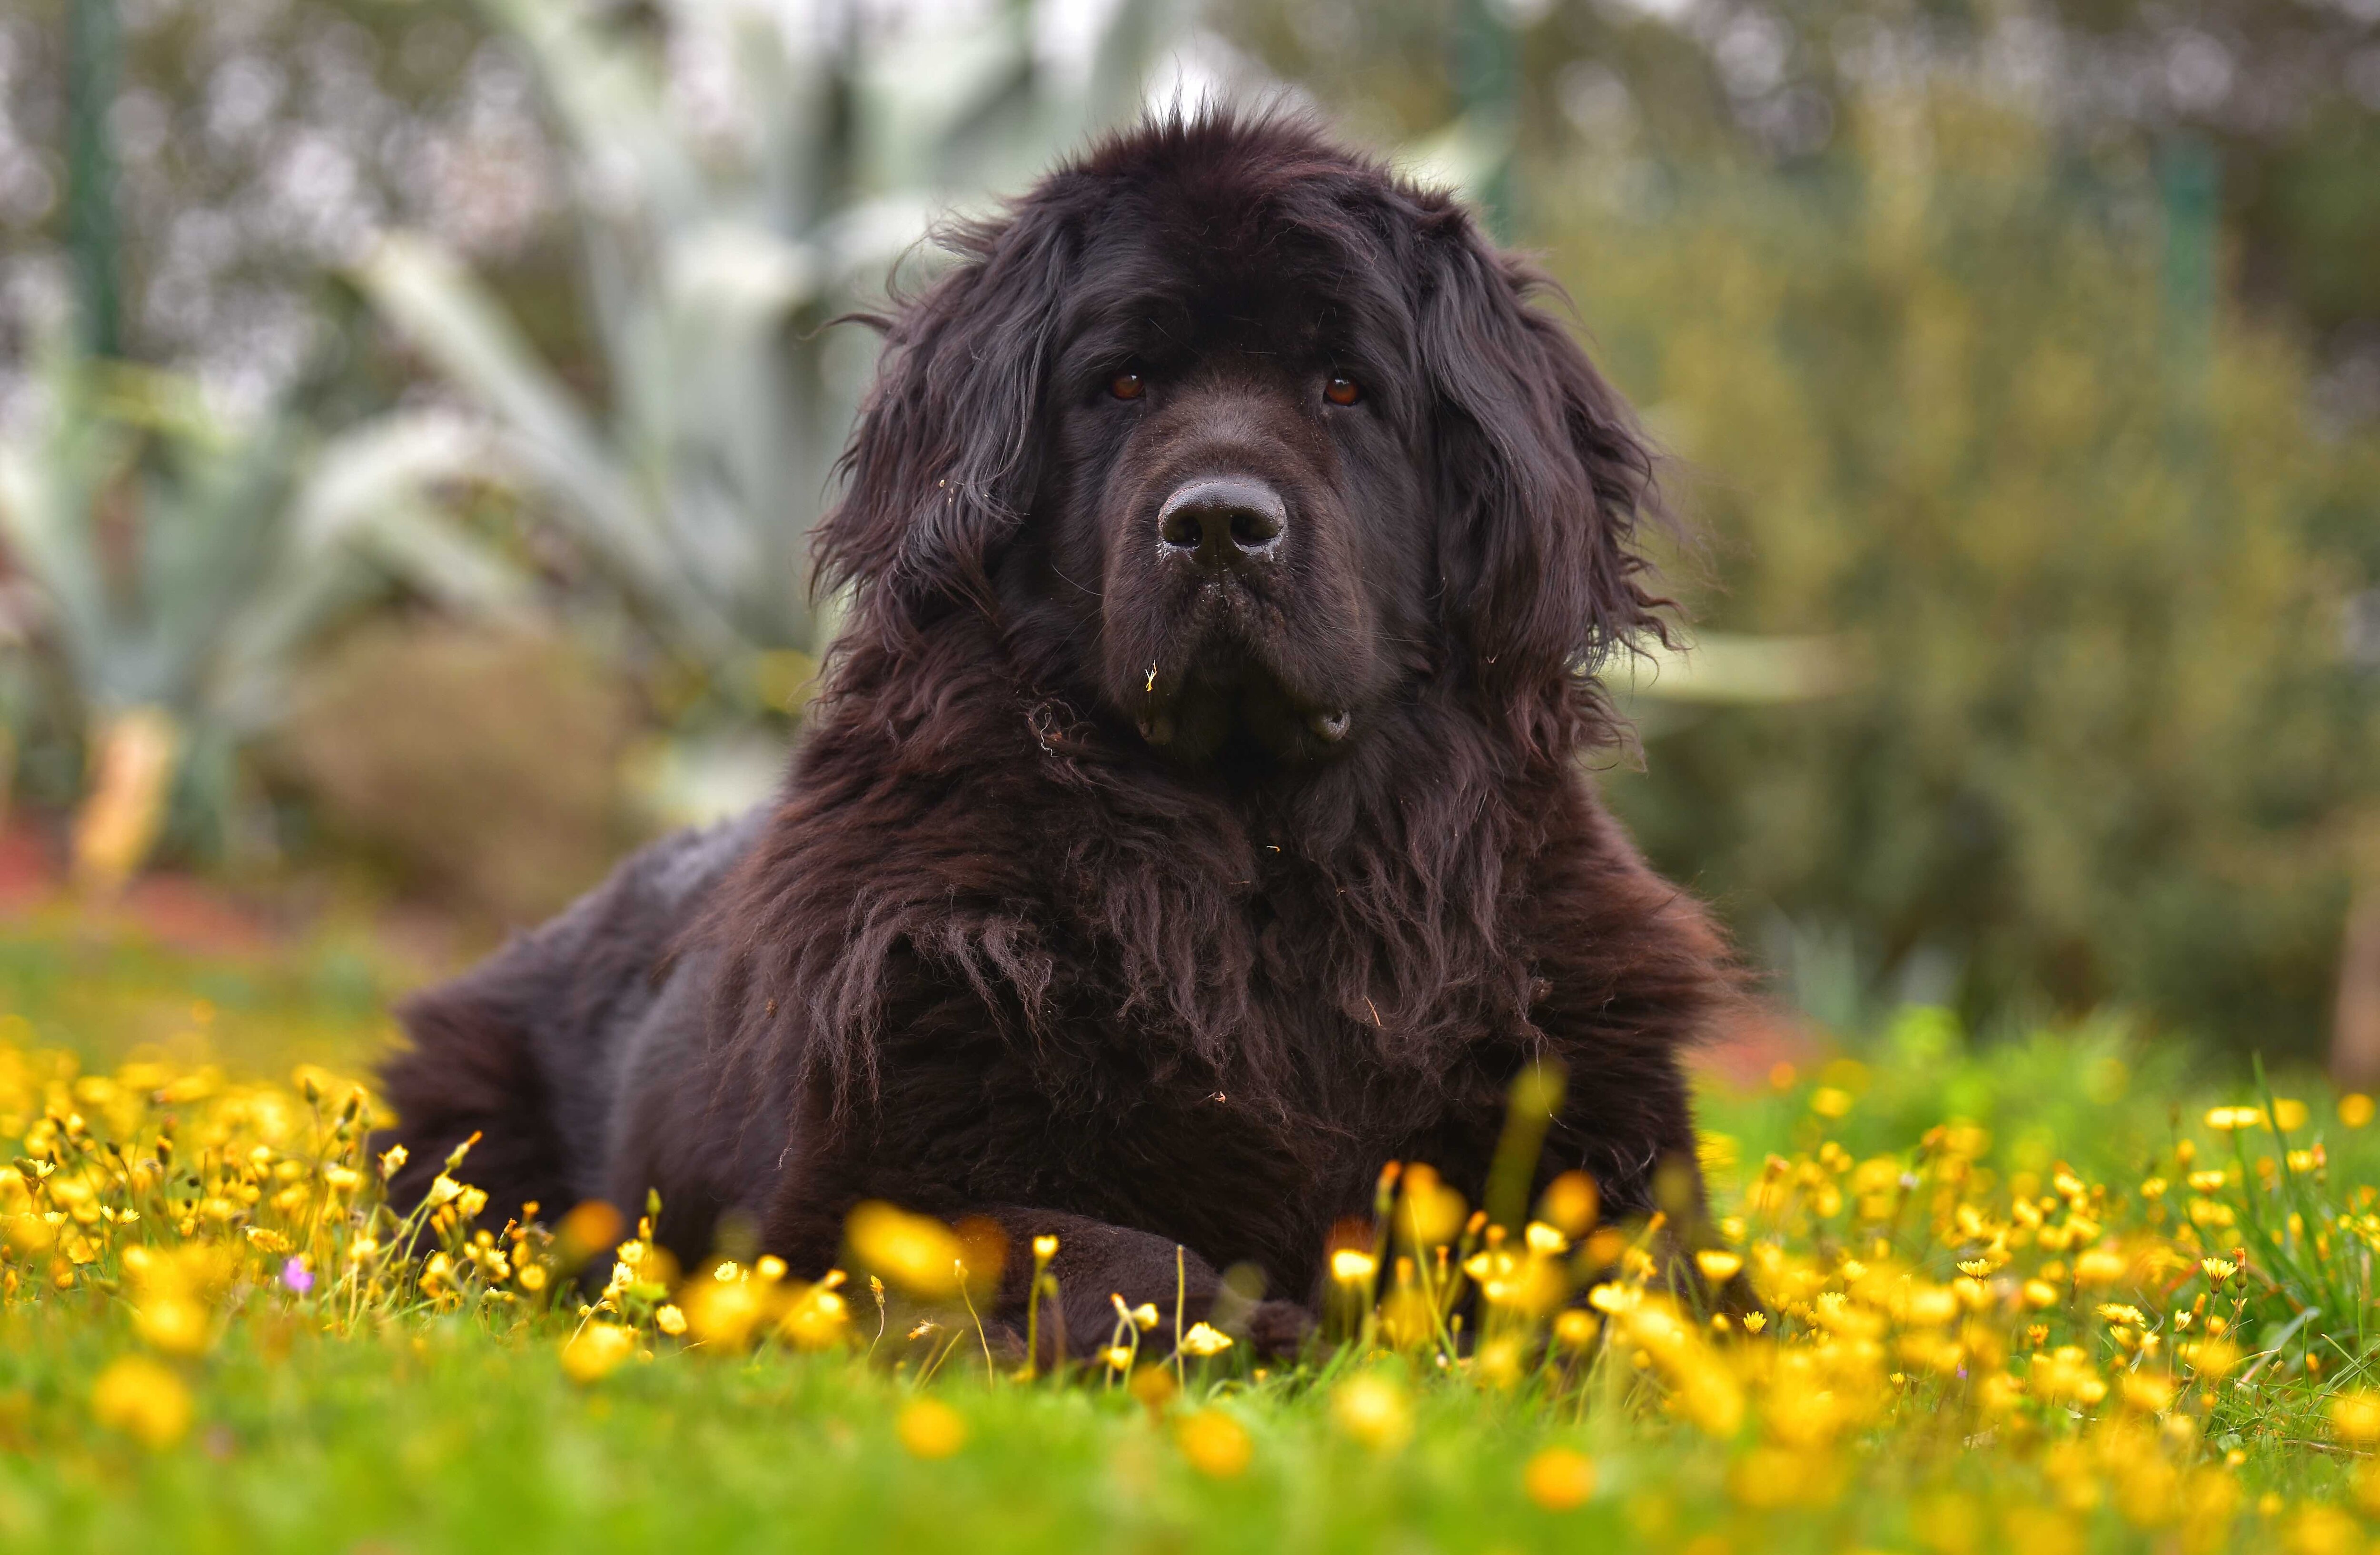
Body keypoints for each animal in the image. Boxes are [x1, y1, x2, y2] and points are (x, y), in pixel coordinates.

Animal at [386, 109, 1733, 1343]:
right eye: (1122, 382)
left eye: (1346, 387)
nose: (1218, 524)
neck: (1264, 866)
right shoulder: (856, 1193)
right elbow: (1119, 1256)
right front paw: (1280, 1334)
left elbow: (1653, 1286)